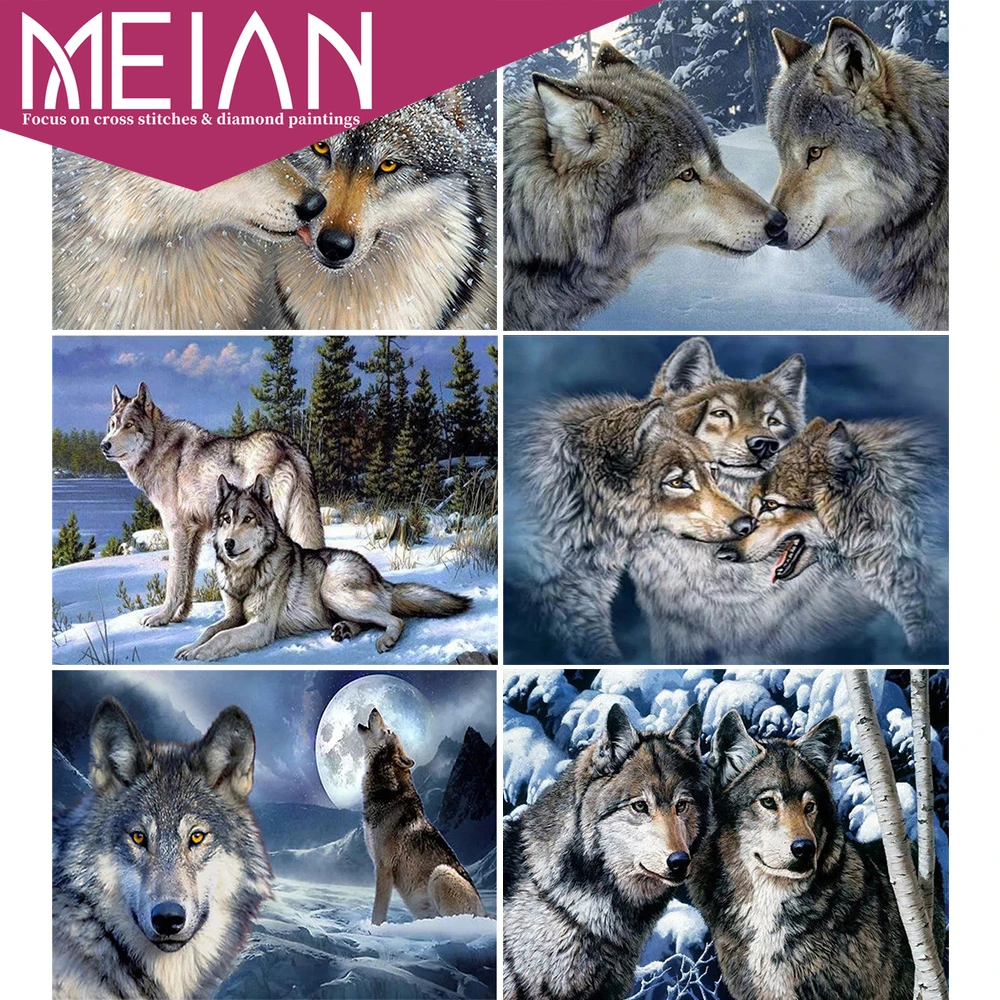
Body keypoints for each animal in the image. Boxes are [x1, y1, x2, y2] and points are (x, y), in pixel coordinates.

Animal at [101, 382, 324, 628]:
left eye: (129, 425)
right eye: (113, 425)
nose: (104, 445)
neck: (158, 449)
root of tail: (288, 444)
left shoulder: (176, 531)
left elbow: (174, 582)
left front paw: (162, 617)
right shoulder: (195, 533)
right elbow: (187, 579)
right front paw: (180, 616)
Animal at [175, 475, 471, 660]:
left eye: (248, 519)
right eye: (226, 519)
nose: (228, 544)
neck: (245, 574)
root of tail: (378, 576)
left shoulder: (261, 626)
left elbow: (222, 638)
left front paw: (198, 653)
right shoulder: (233, 616)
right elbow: (209, 631)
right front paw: (188, 647)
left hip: (332, 591)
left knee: (395, 619)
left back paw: (384, 639)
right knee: (370, 621)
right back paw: (345, 630)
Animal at [358, 708, 486, 924]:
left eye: (388, 730)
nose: (375, 708)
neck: (386, 793)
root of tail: (486, 914)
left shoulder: (384, 867)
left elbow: (378, 912)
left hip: (441, 873)